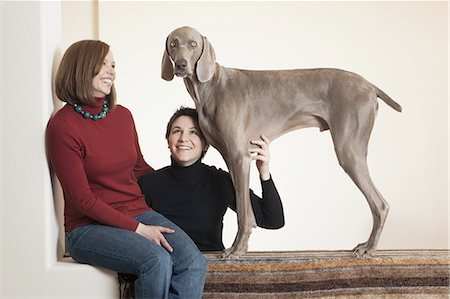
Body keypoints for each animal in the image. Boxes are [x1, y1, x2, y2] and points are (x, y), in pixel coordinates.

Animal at [161, 26, 400, 260]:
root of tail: (369, 85)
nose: (181, 65)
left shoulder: (240, 156)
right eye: (173, 43)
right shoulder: (232, 158)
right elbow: (245, 208)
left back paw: (369, 248)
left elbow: (243, 213)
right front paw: (242, 246)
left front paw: (236, 249)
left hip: (349, 150)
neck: (210, 87)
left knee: (380, 204)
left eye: (193, 44)